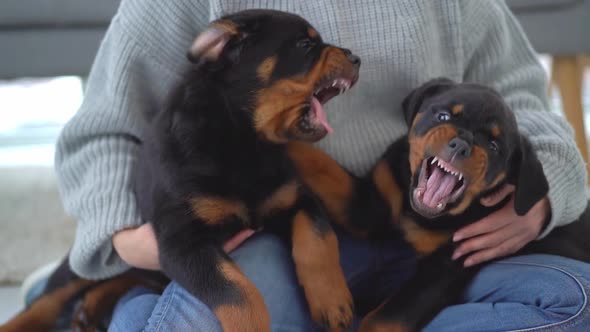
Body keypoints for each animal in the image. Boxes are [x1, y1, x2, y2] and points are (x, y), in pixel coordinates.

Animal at [290, 78, 590, 332]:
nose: (461, 145)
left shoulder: (447, 264)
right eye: (443, 116)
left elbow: (386, 318)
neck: (418, 212)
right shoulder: (370, 205)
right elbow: (322, 166)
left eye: (494, 146)